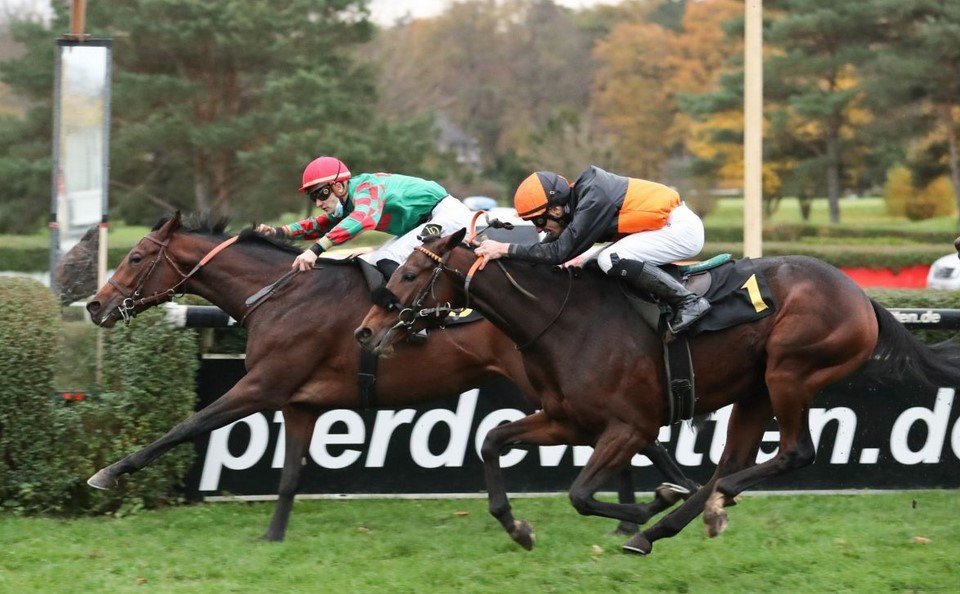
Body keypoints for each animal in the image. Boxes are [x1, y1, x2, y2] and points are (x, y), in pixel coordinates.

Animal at [84, 212, 697, 542]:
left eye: (135, 257)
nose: (94, 305)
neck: (279, 295)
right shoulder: (300, 402)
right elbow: (289, 475)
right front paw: (273, 535)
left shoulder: (262, 386)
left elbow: (185, 426)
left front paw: (108, 472)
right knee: (632, 439)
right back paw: (657, 505)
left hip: (555, 389)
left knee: (633, 437)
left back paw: (659, 504)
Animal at [355, 228, 960, 554]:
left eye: (410, 274)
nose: (364, 331)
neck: (563, 318)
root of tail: (861, 297)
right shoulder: (566, 418)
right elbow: (492, 440)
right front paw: (518, 526)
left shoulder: (628, 425)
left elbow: (581, 493)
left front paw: (648, 503)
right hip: (756, 389)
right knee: (729, 466)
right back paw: (673, 524)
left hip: (790, 371)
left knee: (790, 453)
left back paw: (691, 510)